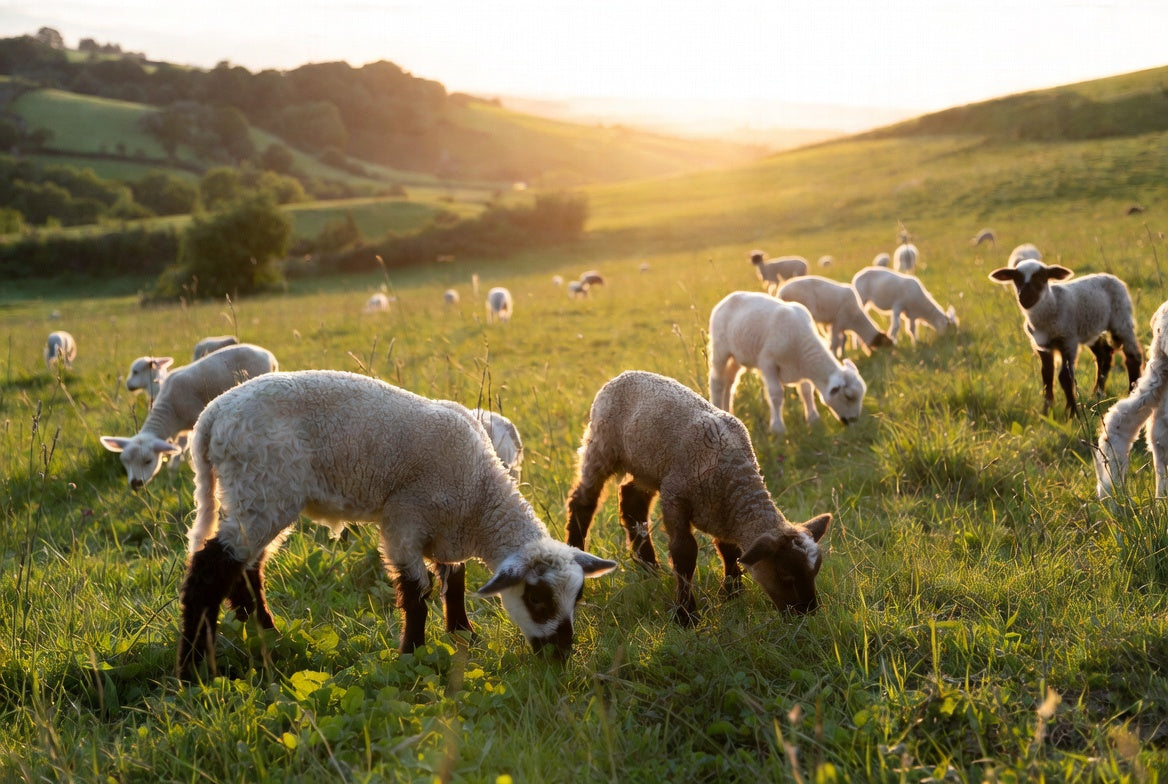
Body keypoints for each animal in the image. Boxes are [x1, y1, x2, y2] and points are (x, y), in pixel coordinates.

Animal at [100, 344, 279, 489]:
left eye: (148, 461)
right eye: (125, 462)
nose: (135, 483)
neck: (168, 412)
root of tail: (269, 356)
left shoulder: (193, 423)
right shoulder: (179, 430)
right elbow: (176, 455)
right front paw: (172, 482)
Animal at [177, 370, 616, 676]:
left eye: (577, 597)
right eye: (537, 599)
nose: (561, 655)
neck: (479, 494)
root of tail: (212, 416)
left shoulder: (445, 527)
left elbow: (454, 578)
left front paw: (461, 632)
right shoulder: (404, 520)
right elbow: (416, 591)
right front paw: (413, 653)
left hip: (255, 492)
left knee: (249, 564)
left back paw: (262, 627)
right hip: (263, 486)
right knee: (210, 567)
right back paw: (194, 666)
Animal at [565, 370, 831, 625]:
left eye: (815, 572)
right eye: (784, 575)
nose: (808, 613)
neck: (734, 475)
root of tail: (624, 374)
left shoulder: (722, 509)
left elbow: (729, 550)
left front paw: (732, 592)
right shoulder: (675, 498)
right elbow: (684, 554)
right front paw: (686, 615)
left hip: (647, 467)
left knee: (632, 501)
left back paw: (649, 567)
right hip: (602, 446)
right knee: (583, 502)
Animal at [708, 291, 866, 436]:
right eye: (848, 396)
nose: (853, 422)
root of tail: (727, 298)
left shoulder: (801, 368)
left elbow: (806, 391)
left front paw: (813, 420)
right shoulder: (768, 362)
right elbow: (776, 394)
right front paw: (778, 429)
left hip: (736, 356)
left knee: (729, 382)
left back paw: (727, 412)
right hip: (720, 349)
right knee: (717, 381)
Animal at [989, 259, 1142, 415]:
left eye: (1041, 277)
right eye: (1016, 278)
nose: (1026, 298)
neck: (1051, 306)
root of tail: (1111, 276)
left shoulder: (1068, 341)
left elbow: (1065, 377)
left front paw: (1072, 413)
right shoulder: (1042, 346)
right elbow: (1047, 376)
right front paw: (1046, 412)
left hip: (1122, 320)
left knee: (1133, 357)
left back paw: (1131, 392)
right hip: (1091, 329)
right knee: (1104, 355)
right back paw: (1097, 394)